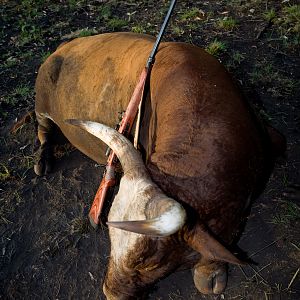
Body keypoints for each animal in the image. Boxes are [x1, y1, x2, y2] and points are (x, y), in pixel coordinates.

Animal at [34, 31, 284, 298]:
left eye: (150, 264)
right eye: (111, 238)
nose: (110, 293)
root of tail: (63, 46)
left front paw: (211, 270)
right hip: (41, 105)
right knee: (44, 130)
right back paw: (42, 160)